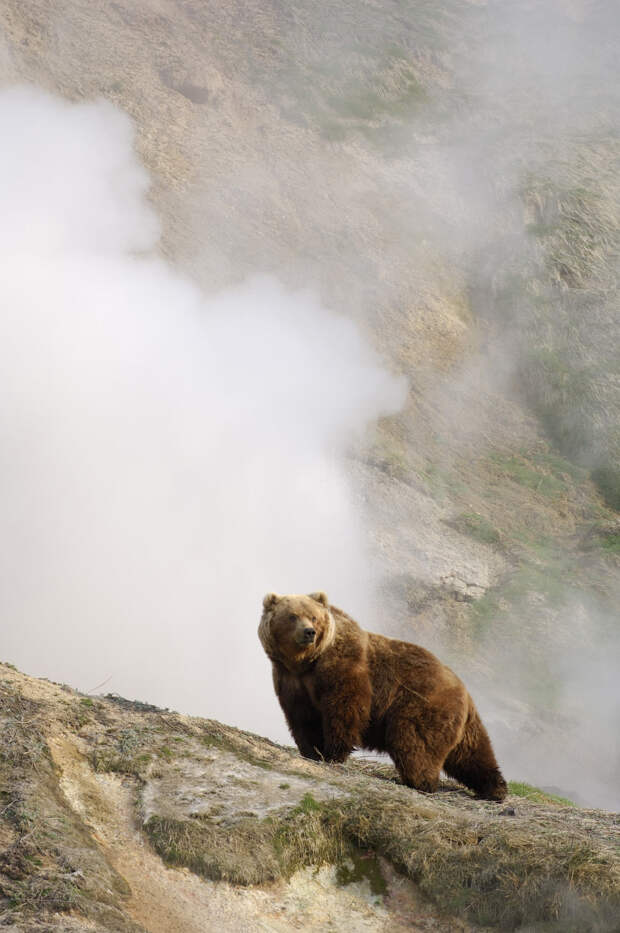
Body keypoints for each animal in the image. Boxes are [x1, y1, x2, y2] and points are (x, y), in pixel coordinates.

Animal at [260, 588, 506, 800]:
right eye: (292, 616)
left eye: (314, 617)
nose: (309, 632)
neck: (307, 662)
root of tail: (463, 688)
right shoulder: (291, 680)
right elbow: (302, 716)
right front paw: (311, 750)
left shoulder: (343, 667)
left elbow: (344, 708)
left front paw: (332, 753)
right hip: (462, 723)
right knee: (471, 752)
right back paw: (494, 788)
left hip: (422, 704)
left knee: (414, 741)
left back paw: (418, 781)